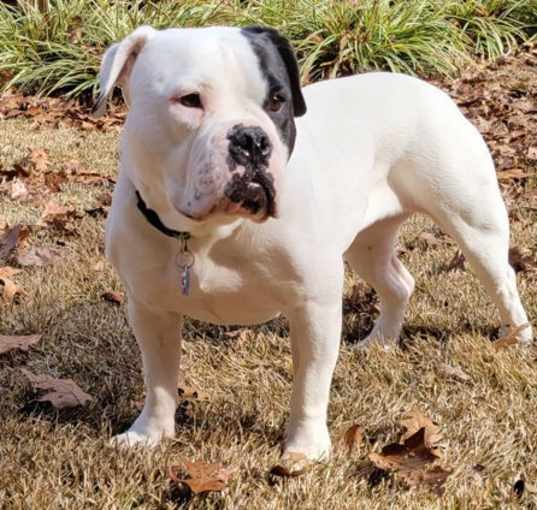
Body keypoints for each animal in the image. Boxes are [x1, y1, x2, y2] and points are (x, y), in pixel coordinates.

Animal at [96, 25, 532, 460]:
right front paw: (150, 433)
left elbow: (310, 382)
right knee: (398, 283)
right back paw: (380, 341)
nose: (252, 139)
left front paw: (305, 448)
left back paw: (517, 336)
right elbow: (158, 379)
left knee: (502, 280)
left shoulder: (313, 306)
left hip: (473, 225)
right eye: (189, 100)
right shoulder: (150, 309)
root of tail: (426, 87)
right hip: (365, 245)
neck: (213, 233)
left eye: (277, 101)